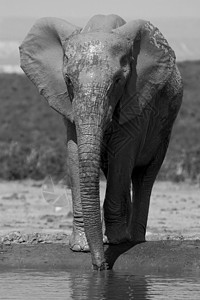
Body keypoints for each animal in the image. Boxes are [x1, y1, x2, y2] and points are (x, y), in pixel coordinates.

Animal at [19, 14, 183, 270]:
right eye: (68, 80)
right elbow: (75, 152)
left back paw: (133, 239)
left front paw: (114, 244)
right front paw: (81, 248)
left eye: (118, 80)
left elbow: (123, 152)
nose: (101, 267)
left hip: (165, 126)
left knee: (143, 176)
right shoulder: (67, 103)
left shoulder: (136, 97)